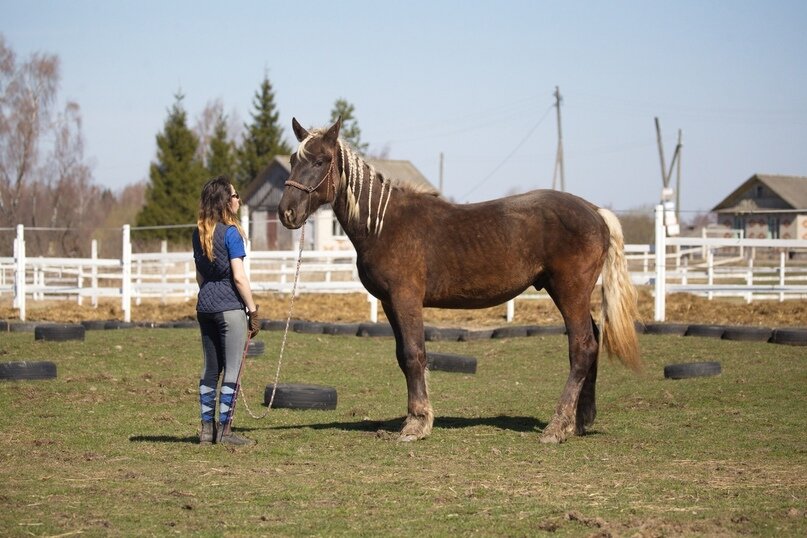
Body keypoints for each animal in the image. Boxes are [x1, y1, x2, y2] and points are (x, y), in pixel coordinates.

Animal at [280, 117, 640, 444]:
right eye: (294, 160)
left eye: (321, 161)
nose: (287, 213)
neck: (384, 223)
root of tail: (595, 211)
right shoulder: (389, 302)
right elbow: (402, 356)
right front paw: (418, 418)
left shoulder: (406, 298)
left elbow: (414, 354)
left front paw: (416, 424)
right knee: (593, 339)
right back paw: (580, 421)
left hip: (570, 290)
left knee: (582, 346)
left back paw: (558, 426)